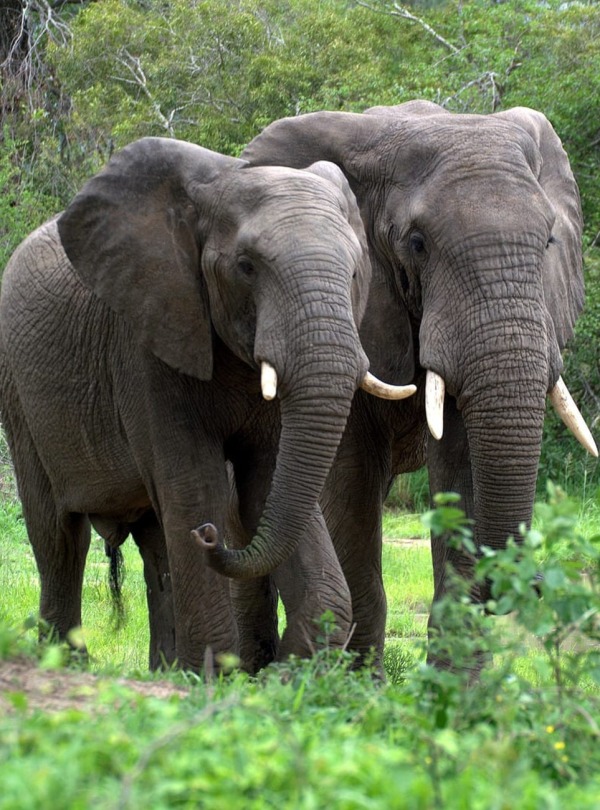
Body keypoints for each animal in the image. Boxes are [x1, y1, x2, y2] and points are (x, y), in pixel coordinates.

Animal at [0, 136, 412, 672]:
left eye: (357, 272)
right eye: (246, 266)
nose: (211, 535)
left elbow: (269, 486)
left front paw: (279, 675)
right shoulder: (145, 341)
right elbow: (193, 485)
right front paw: (210, 679)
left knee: (154, 544)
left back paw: (164, 671)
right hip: (18, 391)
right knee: (59, 537)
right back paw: (66, 666)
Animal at [227, 99, 596, 668]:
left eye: (550, 240)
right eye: (417, 244)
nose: (533, 581)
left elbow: (461, 465)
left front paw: (456, 684)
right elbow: (349, 482)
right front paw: (357, 684)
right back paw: (244, 670)